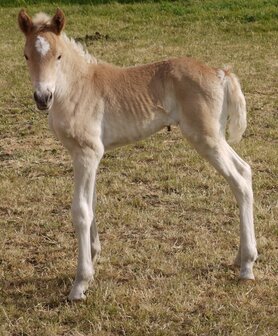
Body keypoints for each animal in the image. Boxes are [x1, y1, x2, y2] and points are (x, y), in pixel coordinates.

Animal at [18, 9, 258, 300]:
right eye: (26, 55)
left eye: (58, 56)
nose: (43, 97)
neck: (76, 87)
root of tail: (220, 73)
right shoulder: (87, 155)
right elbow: (92, 204)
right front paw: (94, 259)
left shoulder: (87, 153)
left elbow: (81, 211)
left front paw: (80, 283)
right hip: (216, 137)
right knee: (245, 170)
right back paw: (239, 257)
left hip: (206, 138)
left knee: (239, 181)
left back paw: (247, 267)